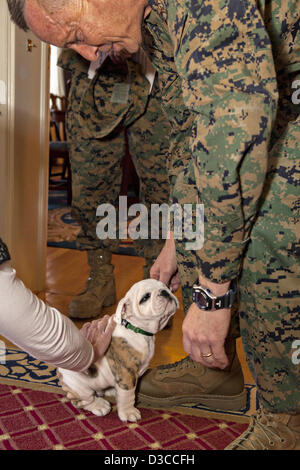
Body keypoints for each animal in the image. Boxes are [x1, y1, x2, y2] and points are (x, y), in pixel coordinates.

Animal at [57, 280, 178, 422]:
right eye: (145, 297)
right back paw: (99, 405)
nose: (164, 292)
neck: (135, 328)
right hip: (78, 387)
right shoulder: (127, 373)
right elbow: (127, 395)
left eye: (166, 286)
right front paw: (128, 412)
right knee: (82, 400)